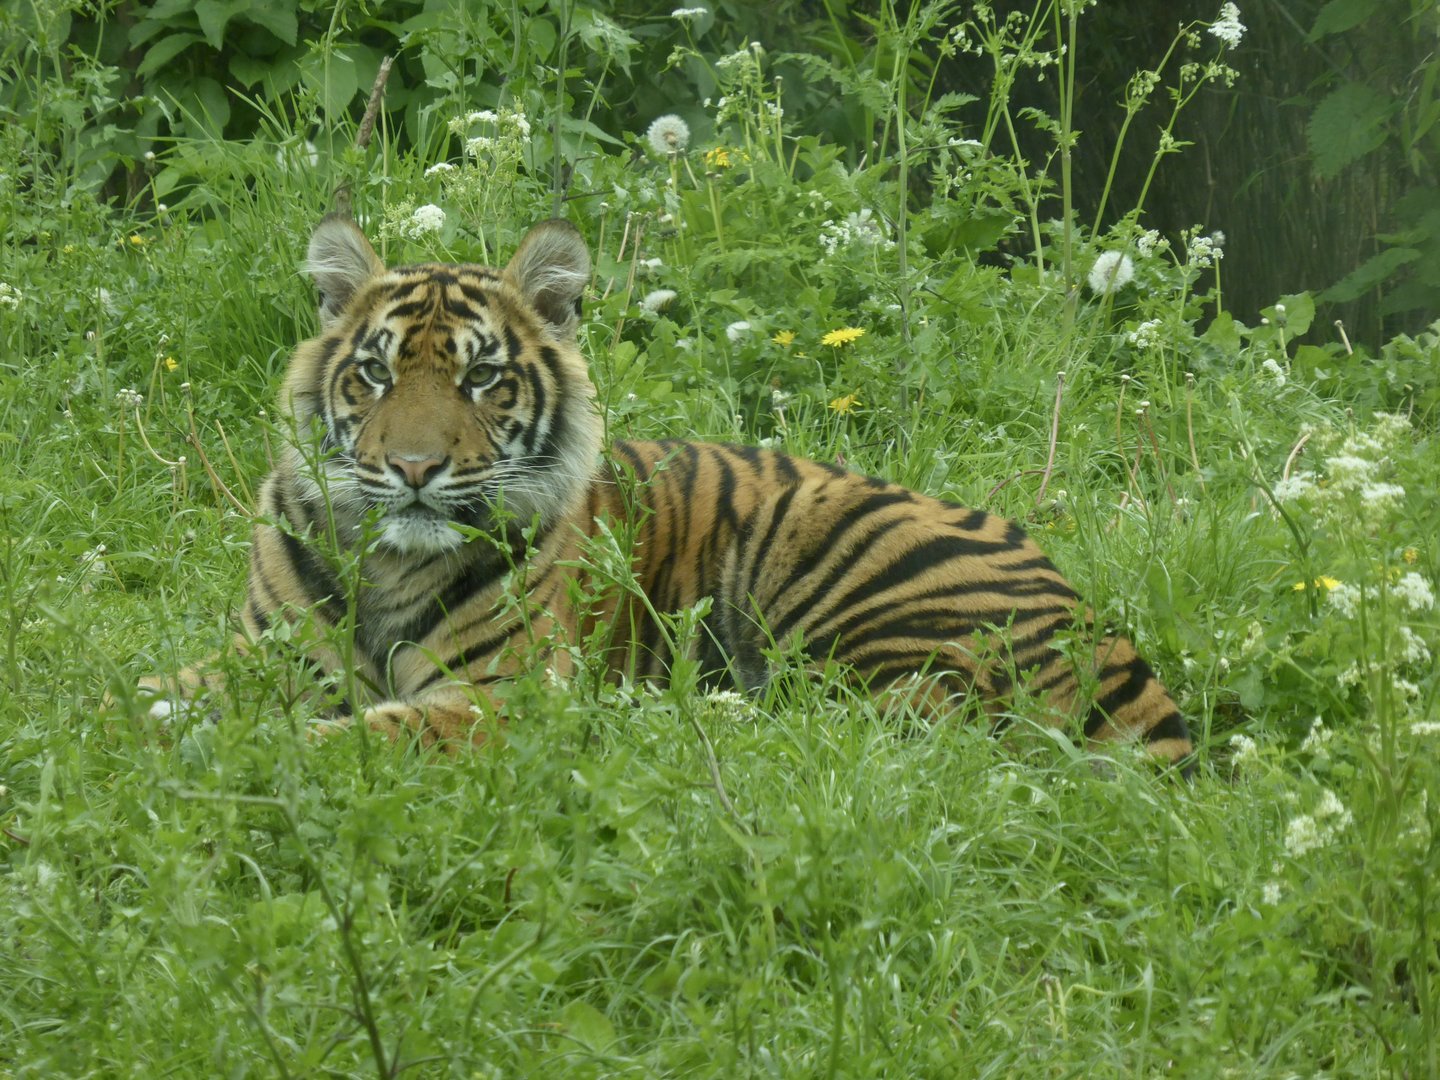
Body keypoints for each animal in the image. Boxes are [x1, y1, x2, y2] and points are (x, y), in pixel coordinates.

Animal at [140, 213, 1192, 767]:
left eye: (481, 379)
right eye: (376, 373)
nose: (413, 470)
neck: (393, 560)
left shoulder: (507, 694)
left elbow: (343, 735)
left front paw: (233, 752)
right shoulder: (260, 655)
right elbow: (143, 688)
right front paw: (133, 719)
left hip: (859, 606)